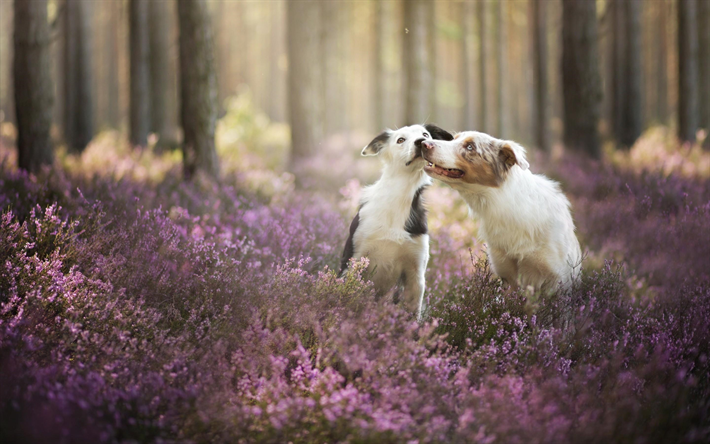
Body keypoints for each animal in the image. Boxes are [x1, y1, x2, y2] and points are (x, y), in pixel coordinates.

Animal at [340, 123, 456, 318]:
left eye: (425, 134)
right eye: (400, 140)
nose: (422, 142)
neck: (400, 196)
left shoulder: (415, 273)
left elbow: (413, 314)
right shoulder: (354, 258)